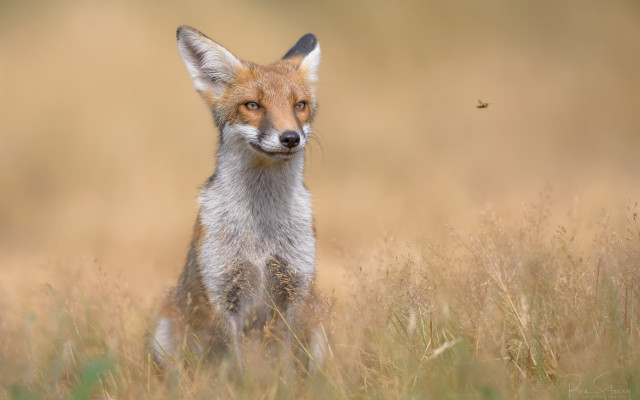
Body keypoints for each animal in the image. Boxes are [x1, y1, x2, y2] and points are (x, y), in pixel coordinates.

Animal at [149, 25, 325, 374]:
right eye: (253, 105)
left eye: (299, 105)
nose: (290, 138)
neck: (261, 234)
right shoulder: (221, 292)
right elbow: (234, 366)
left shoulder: (295, 288)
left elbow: (285, 363)